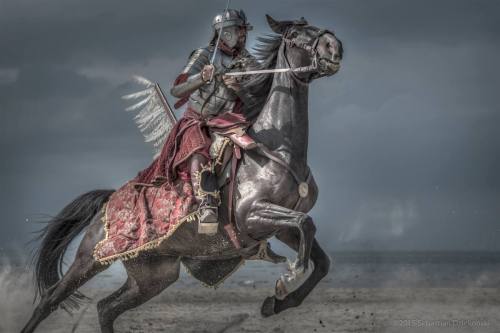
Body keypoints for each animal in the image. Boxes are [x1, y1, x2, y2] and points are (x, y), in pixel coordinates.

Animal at [23, 15, 344, 332]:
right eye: (294, 35)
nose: (335, 47)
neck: (277, 148)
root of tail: (109, 200)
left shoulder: (280, 227)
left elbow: (320, 256)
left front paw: (275, 303)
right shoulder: (254, 215)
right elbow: (306, 224)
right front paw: (286, 279)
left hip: (153, 276)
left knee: (106, 308)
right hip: (91, 258)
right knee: (50, 300)